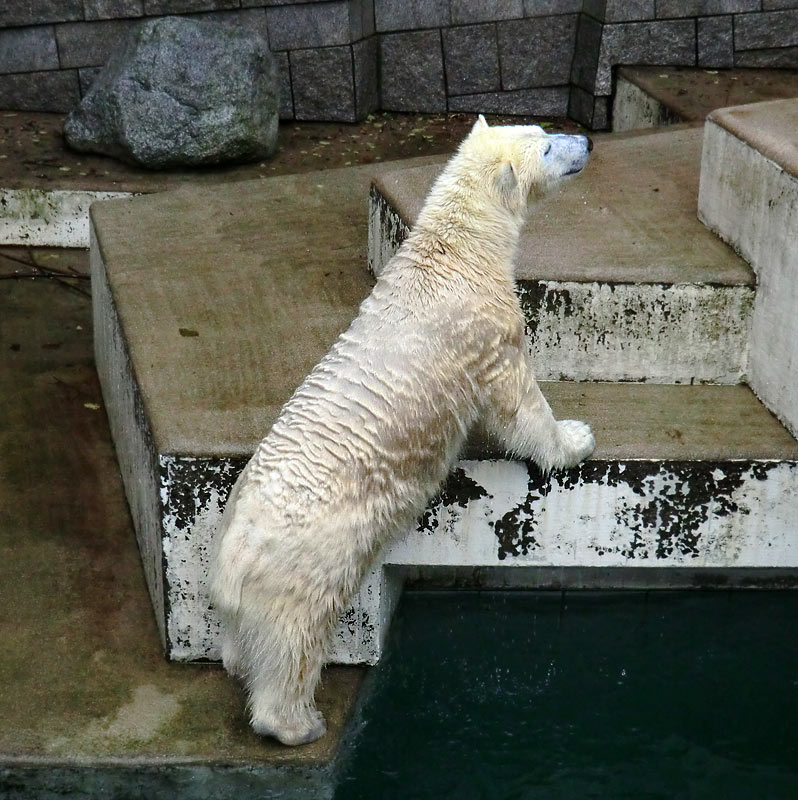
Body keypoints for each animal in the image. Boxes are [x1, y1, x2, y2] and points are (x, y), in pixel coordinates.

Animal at [209, 115, 596, 748]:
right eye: (545, 145)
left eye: (544, 126)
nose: (586, 140)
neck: (456, 254)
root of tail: (234, 553)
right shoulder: (484, 331)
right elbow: (518, 402)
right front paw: (574, 438)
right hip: (307, 557)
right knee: (296, 635)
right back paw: (297, 722)